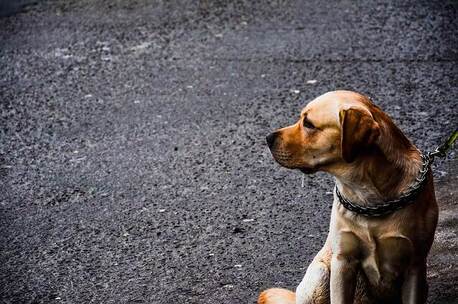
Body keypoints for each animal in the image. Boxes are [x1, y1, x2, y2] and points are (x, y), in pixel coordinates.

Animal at [260, 91, 438, 304]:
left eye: (309, 124)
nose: (268, 138)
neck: (369, 199)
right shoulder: (342, 261)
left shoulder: (415, 265)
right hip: (320, 274)